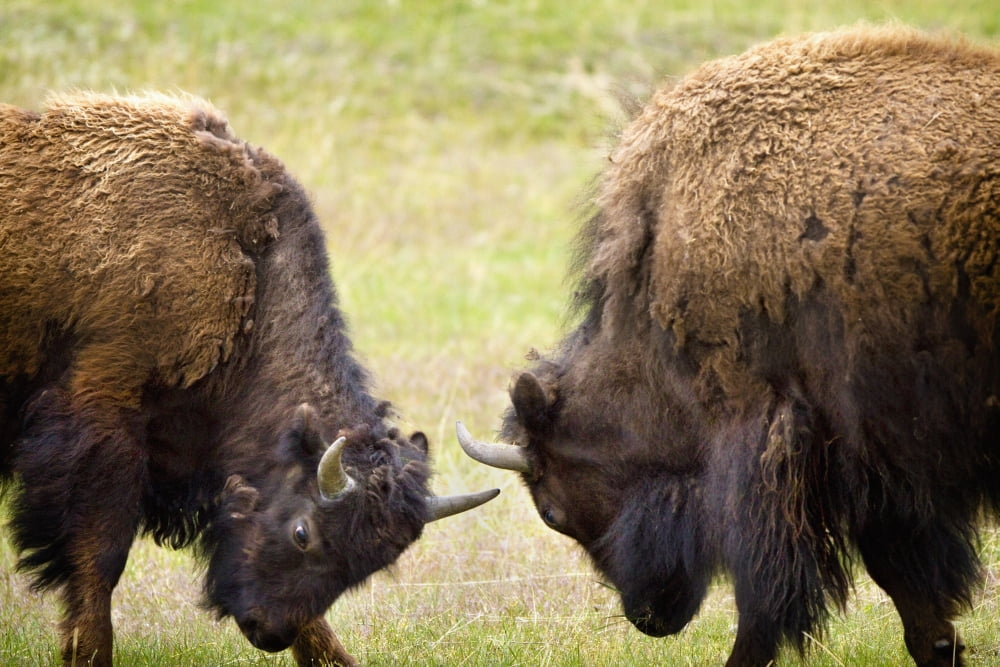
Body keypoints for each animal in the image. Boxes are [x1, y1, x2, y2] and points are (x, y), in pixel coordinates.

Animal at [0, 91, 497, 666]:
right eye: (303, 532)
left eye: (367, 566)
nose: (270, 631)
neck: (249, 276)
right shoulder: (101, 420)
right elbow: (100, 556)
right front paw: (89, 653)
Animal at [459, 26, 1000, 667]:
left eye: (550, 510)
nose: (648, 618)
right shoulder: (877, 468)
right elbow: (907, 589)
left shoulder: (774, 443)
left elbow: (767, 601)